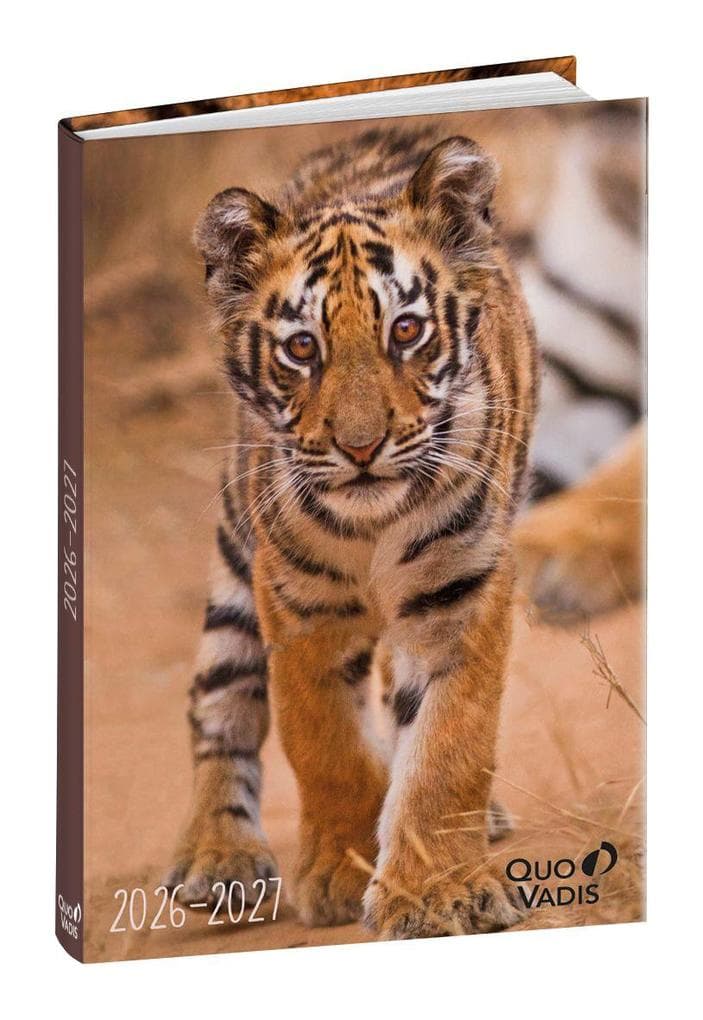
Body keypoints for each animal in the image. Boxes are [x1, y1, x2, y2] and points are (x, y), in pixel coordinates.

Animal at [165, 127, 537, 939]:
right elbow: (323, 742)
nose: (361, 447)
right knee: (219, 699)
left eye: (407, 331)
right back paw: (218, 855)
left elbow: (449, 748)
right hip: (237, 555)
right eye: (302, 348)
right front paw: (340, 873)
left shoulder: (462, 596)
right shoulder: (298, 608)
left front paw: (434, 893)